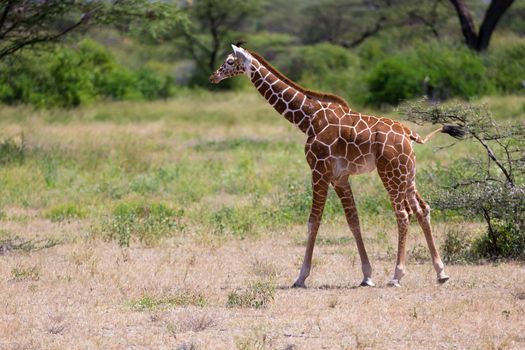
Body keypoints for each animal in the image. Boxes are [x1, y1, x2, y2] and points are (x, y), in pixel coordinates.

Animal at [207, 45, 460, 288]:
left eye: (229, 61)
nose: (213, 76)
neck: (308, 119)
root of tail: (410, 134)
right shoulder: (339, 176)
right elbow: (353, 220)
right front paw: (367, 275)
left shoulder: (318, 170)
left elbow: (313, 221)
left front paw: (301, 277)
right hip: (408, 174)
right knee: (422, 209)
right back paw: (441, 272)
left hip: (390, 172)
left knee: (403, 214)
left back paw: (397, 275)